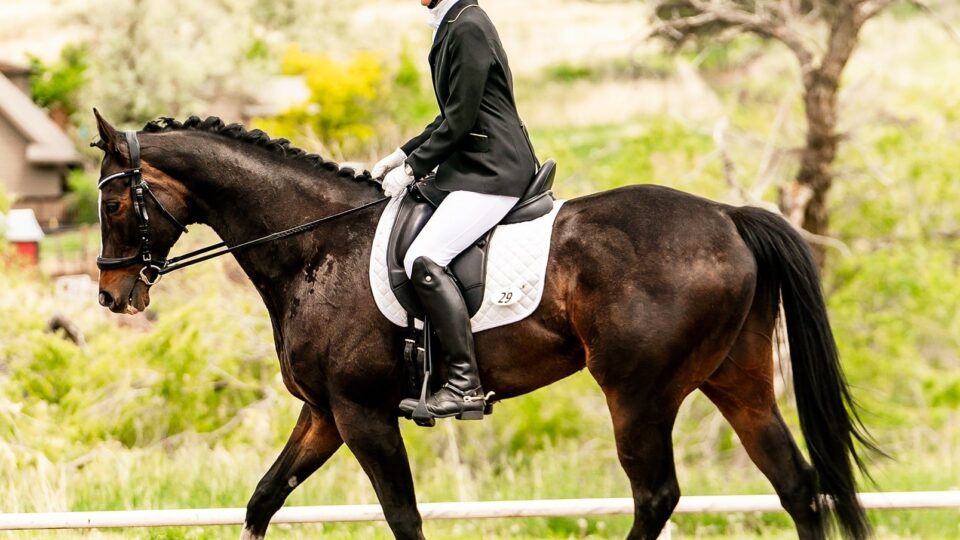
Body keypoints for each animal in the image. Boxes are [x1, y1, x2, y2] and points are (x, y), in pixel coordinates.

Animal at [91, 111, 875, 540]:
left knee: (657, 496)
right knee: (797, 484)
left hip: (638, 392)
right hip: (737, 380)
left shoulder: (362, 412)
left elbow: (403, 516)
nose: (112, 295)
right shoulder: (324, 412)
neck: (316, 246)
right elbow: (261, 500)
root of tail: (728, 216)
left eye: (114, 204)